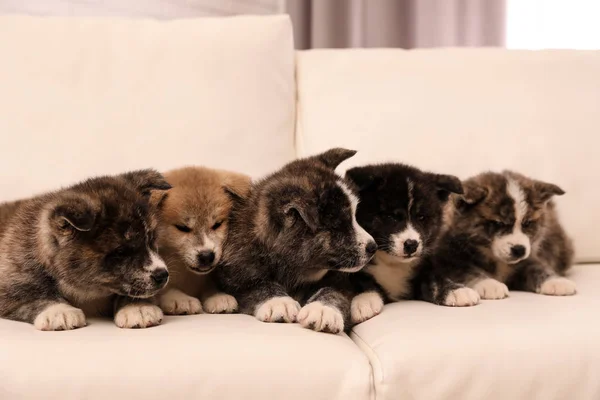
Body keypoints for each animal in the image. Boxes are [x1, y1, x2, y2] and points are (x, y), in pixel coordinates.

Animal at [0, 170, 171, 330]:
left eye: (151, 240)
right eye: (121, 252)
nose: (162, 275)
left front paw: (138, 307)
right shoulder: (11, 282)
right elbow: (31, 296)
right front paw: (58, 311)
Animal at [214, 148, 376, 332]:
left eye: (355, 217)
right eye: (338, 226)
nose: (373, 247)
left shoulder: (340, 281)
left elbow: (333, 292)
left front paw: (322, 309)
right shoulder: (238, 279)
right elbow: (258, 287)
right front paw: (279, 301)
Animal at [342, 164, 464, 324]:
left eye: (421, 217)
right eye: (390, 216)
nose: (411, 244)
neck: (392, 263)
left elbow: (433, 280)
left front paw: (454, 290)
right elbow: (363, 282)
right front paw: (364, 300)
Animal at [418, 170, 576, 306]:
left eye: (527, 223)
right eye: (498, 223)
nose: (519, 250)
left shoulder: (528, 258)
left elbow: (538, 268)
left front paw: (556, 282)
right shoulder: (448, 261)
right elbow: (467, 271)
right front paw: (489, 284)